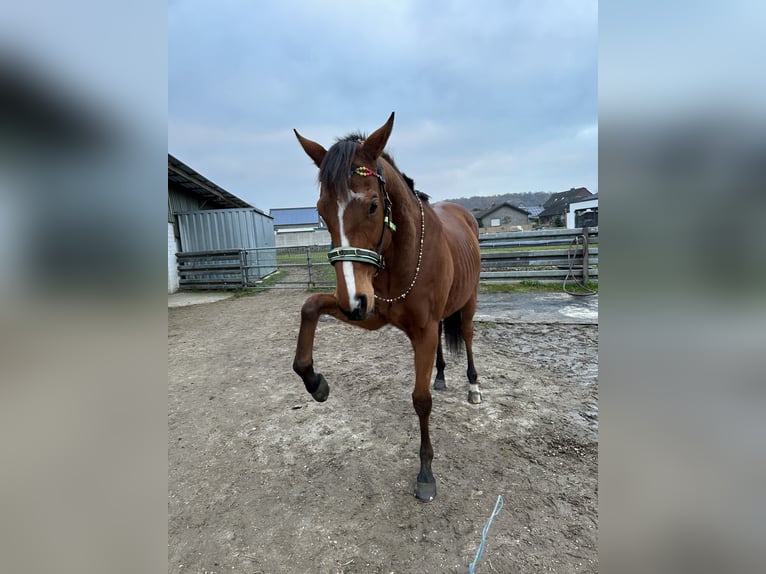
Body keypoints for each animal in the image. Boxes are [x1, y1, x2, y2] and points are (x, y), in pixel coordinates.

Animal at [292, 112, 484, 504]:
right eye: (321, 211)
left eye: (372, 205)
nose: (353, 301)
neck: (404, 254)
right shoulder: (370, 312)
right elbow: (310, 306)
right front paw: (315, 382)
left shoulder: (417, 327)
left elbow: (421, 400)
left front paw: (426, 474)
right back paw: (441, 375)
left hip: (468, 302)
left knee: (468, 336)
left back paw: (473, 387)